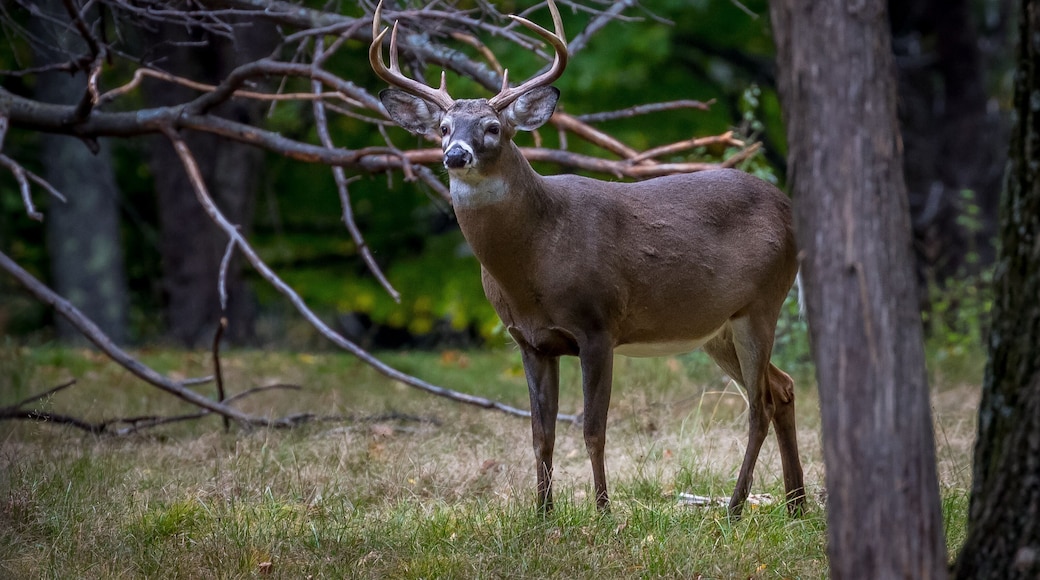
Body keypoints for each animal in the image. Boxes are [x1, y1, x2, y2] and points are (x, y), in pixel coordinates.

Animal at [370, 0, 805, 516]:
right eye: (443, 128)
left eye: (494, 128)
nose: (455, 155)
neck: (535, 260)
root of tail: (790, 210)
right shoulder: (529, 340)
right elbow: (541, 435)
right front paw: (542, 514)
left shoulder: (598, 325)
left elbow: (593, 430)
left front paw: (602, 511)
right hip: (716, 327)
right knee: (782, 388)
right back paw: (796, 504)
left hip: (762, 302)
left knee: (759, 405)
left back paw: (736, 508)